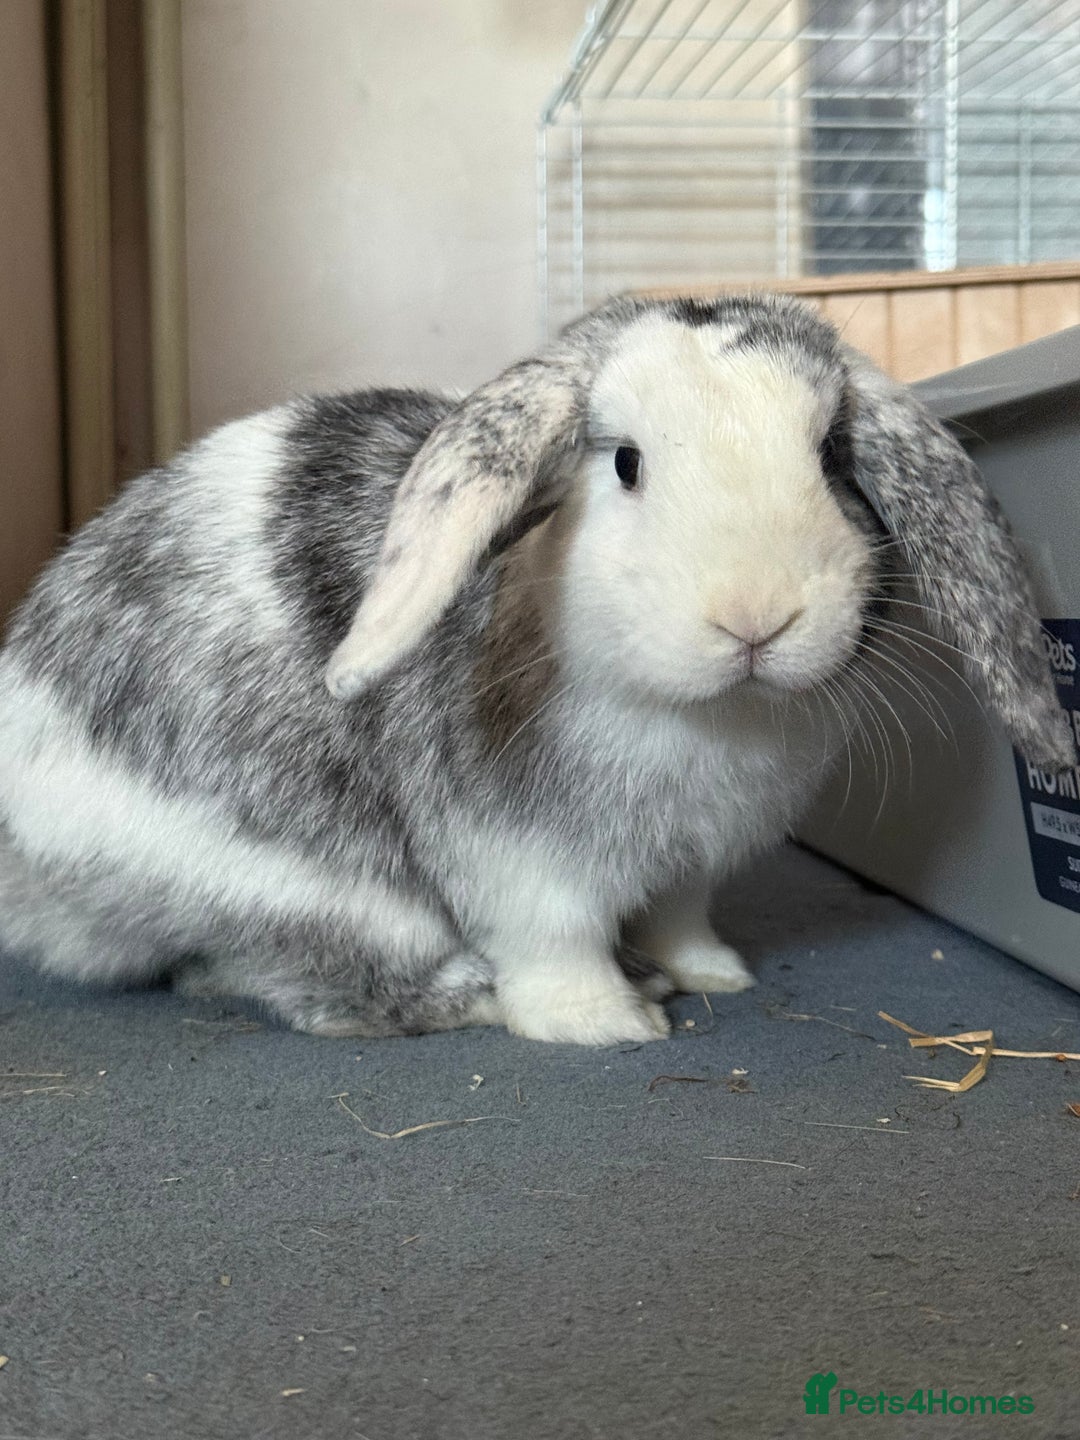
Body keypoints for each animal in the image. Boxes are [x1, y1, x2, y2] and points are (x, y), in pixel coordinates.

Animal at [0, 293, 1070, 1045]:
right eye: (626, 463)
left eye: (832, 457)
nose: (754, 618)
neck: (701, 715)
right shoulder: (521, 862)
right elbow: (553, 941)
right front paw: (610, 1026)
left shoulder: (690, 865)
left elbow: (682, 916)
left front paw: (714, 974)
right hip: (315, 895)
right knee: (288, 979)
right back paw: (486, 996)